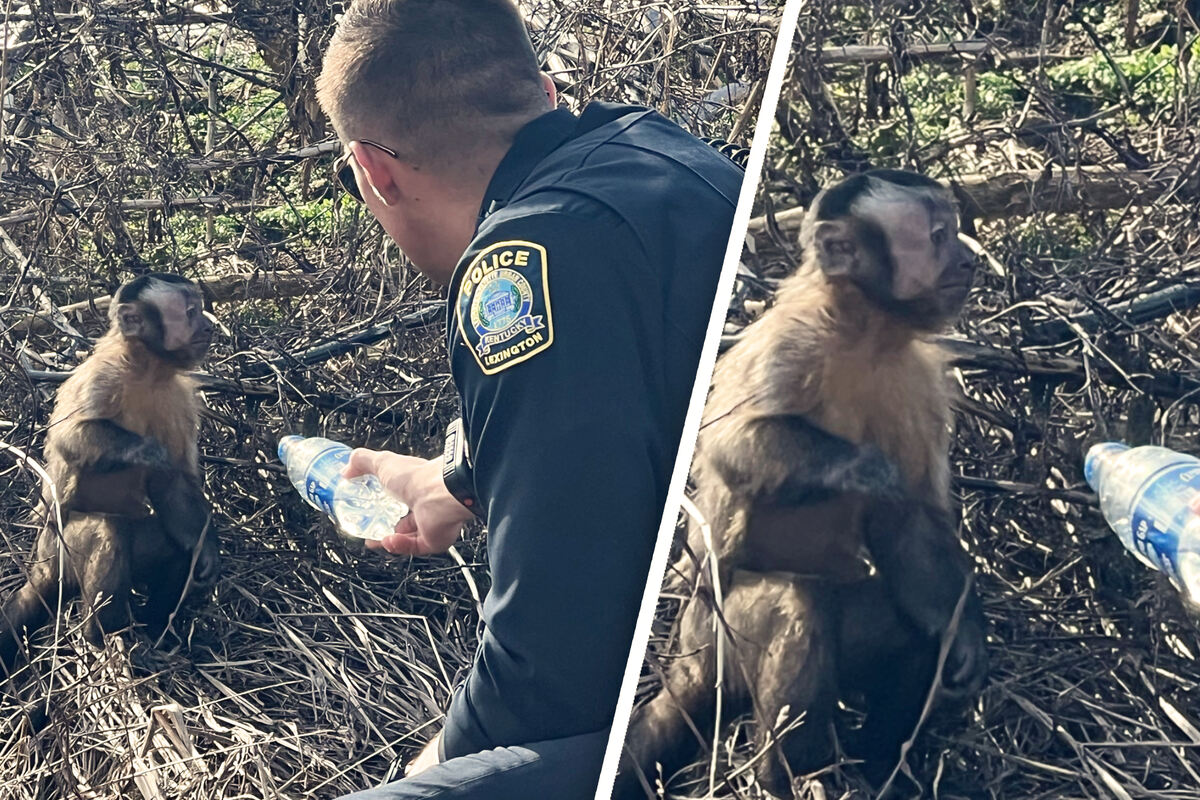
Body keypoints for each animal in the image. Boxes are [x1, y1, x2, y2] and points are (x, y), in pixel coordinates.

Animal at [0, 273, 221, 671]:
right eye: (191, 312)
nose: (208, 325)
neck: (146, 371)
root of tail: (40, 563)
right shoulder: (102, 375)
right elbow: (70, 438)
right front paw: (147, 450)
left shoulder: (180, 398)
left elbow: (174, 485)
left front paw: (207, 550)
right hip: (59, 550)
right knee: (109, 530)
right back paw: (99, 636)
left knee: (173, 548)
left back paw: (154, 631)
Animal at [616, 170, 989, 798]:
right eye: (939, 236)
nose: (969, 259)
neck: (866, 334)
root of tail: (685, 657)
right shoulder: (791, 343)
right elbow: (730, 445)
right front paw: (862, 466)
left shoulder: (919, 381)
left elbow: (910, 524)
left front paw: (964, 638)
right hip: (718, 638)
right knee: (800, 603)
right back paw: (788, 774)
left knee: (907, 632)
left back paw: (878, 766)